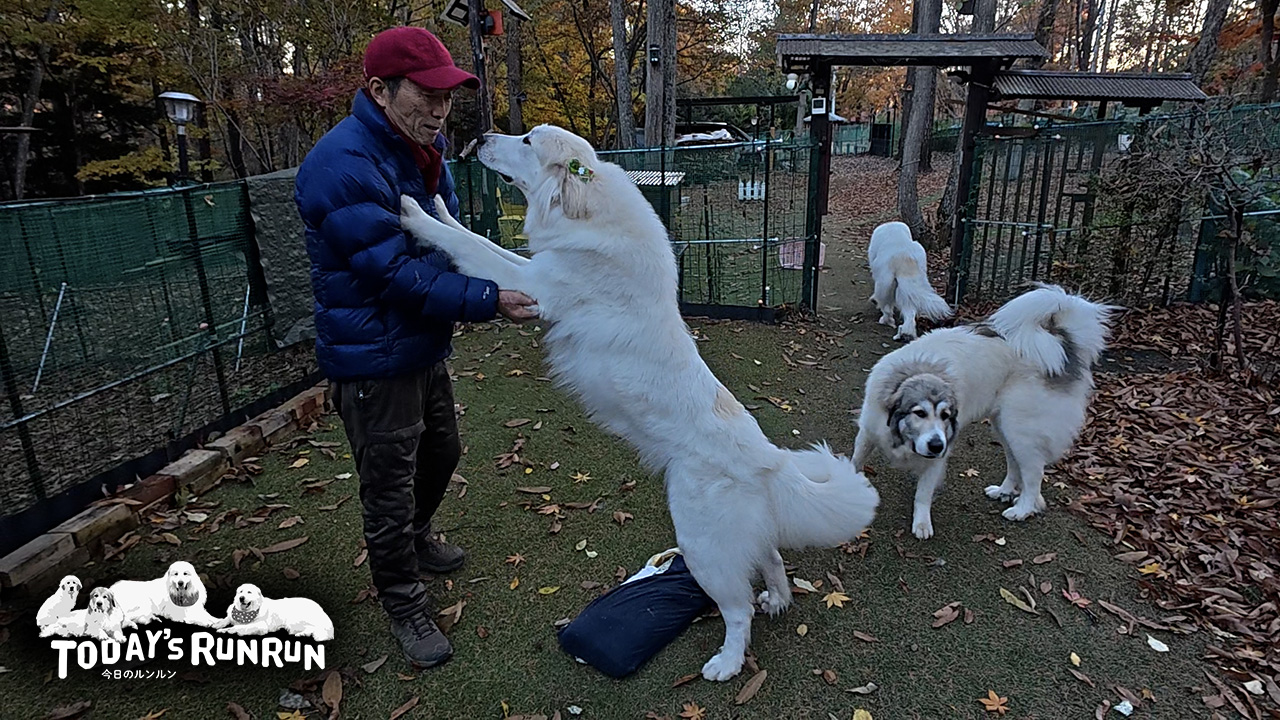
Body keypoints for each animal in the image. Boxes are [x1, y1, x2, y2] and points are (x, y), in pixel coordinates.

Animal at [397, 124, 878, 682]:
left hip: (700, 545)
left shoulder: (536, 282)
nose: (479, 137)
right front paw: (437, 203)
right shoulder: (534, 269)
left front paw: (413, 212)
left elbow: (471, 242)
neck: (587, 209)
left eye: (528, 140)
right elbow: (473, 235)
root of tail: (770, 460)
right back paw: (777, 600)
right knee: (773, 560)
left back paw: (727, 662)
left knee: (737, 608)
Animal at [852, 284, 1113, 539]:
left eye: (945, 415)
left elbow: (923, 494)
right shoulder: (868, 432)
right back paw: (1004, 491)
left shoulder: (939, 455)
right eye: (919, 413)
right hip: (1004, 427)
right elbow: (856, 462)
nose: (936, 445)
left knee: (1034, 473)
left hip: (1021, 429)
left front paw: (922, 523)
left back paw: (1022, 509)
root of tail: (1060, 343)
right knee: (1015, 464)